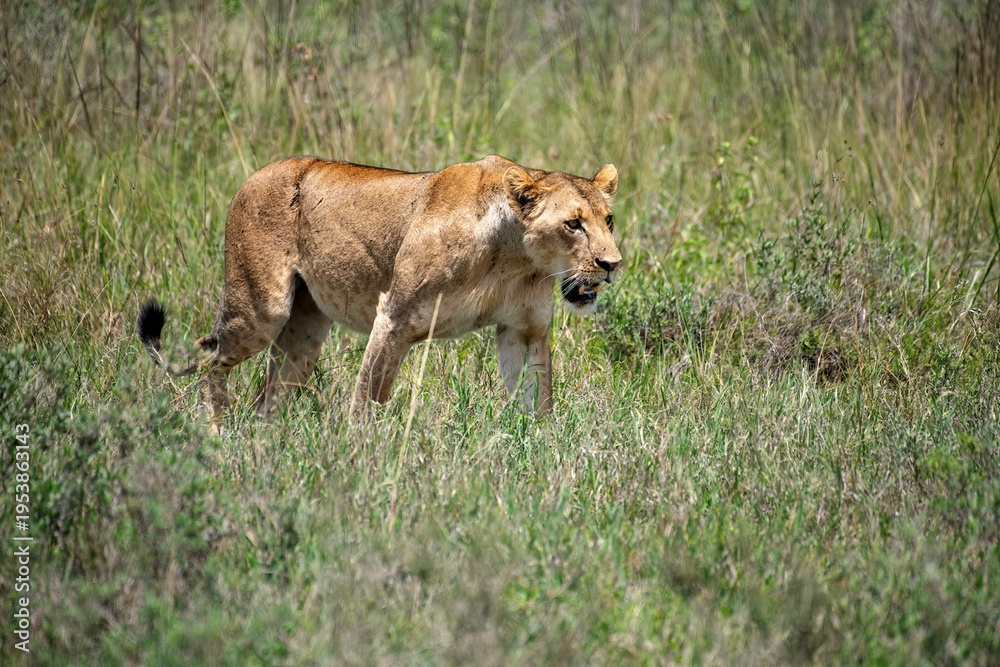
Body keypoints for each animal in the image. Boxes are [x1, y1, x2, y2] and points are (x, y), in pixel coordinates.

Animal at [137, 154, 620, 426]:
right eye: (573, 224)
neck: (514, 258)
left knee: (267, 398)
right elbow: (366, 398)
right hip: (261, 308)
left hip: (304, 334)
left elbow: (538, 398)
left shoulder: (524, 330)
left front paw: (542, 451)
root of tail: (251, 178)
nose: (612, 264)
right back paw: (215, 433)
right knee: (210, 366)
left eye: (608, 220)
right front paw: (359, 462)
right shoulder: (395, 317)